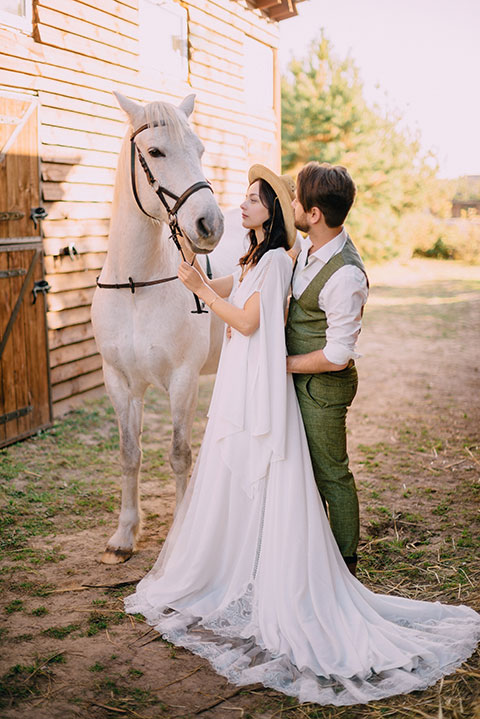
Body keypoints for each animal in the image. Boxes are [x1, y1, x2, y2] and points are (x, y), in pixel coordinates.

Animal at [91, 93, 244, 564]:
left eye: (200, 150)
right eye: (155, 151)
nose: (210, 225)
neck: (136, 285)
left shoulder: (182, 380)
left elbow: (178, 455)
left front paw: (180, 537)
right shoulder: (120, 383)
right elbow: (130, 453)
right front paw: (124, 535)